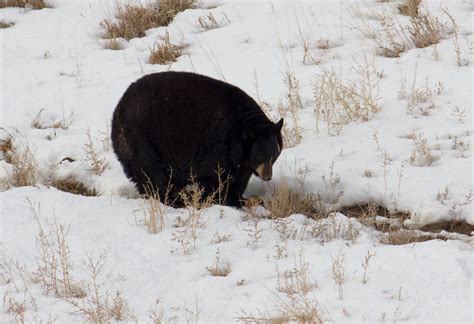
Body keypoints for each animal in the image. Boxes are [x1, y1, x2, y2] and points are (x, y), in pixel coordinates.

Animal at [111, 71, 282, 208]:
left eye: (273, 157)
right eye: (260, 157)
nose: (267, 176)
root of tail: (117, 110)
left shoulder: (241, 161)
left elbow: (239, 180)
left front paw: (241, 199)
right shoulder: (219, 143)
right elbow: (214, 177)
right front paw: (219, 199)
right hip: (141, 139)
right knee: (154, 175)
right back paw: (175, 200)